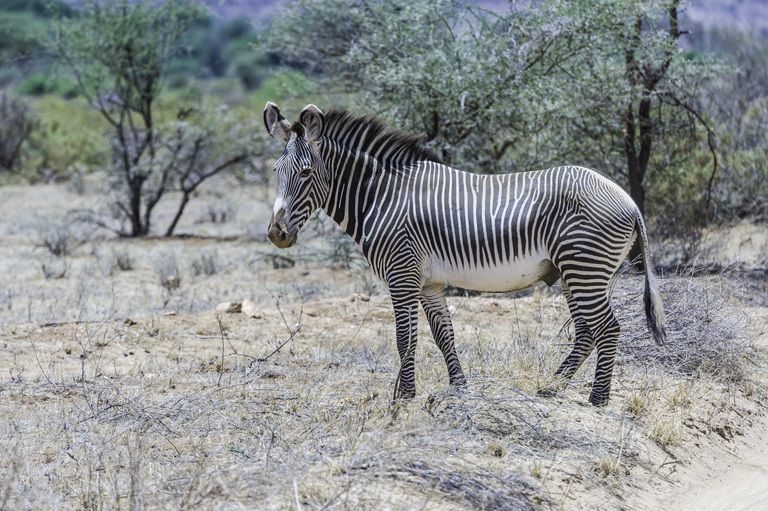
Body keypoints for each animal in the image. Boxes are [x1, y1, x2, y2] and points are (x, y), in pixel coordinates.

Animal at [260, 103, 664, 408]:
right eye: (277, 171)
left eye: (307, 173)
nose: (276, 233)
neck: (381, 196)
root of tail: (628, 199)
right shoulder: (428, 282)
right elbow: (443, 336)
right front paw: (459, 387)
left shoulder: (401, 275)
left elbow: (405, 339)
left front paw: (403, 398)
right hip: (575, 272)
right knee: (586, 332)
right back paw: (552, 386)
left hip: (584, 267)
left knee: (607, 328)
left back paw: (597, 399)